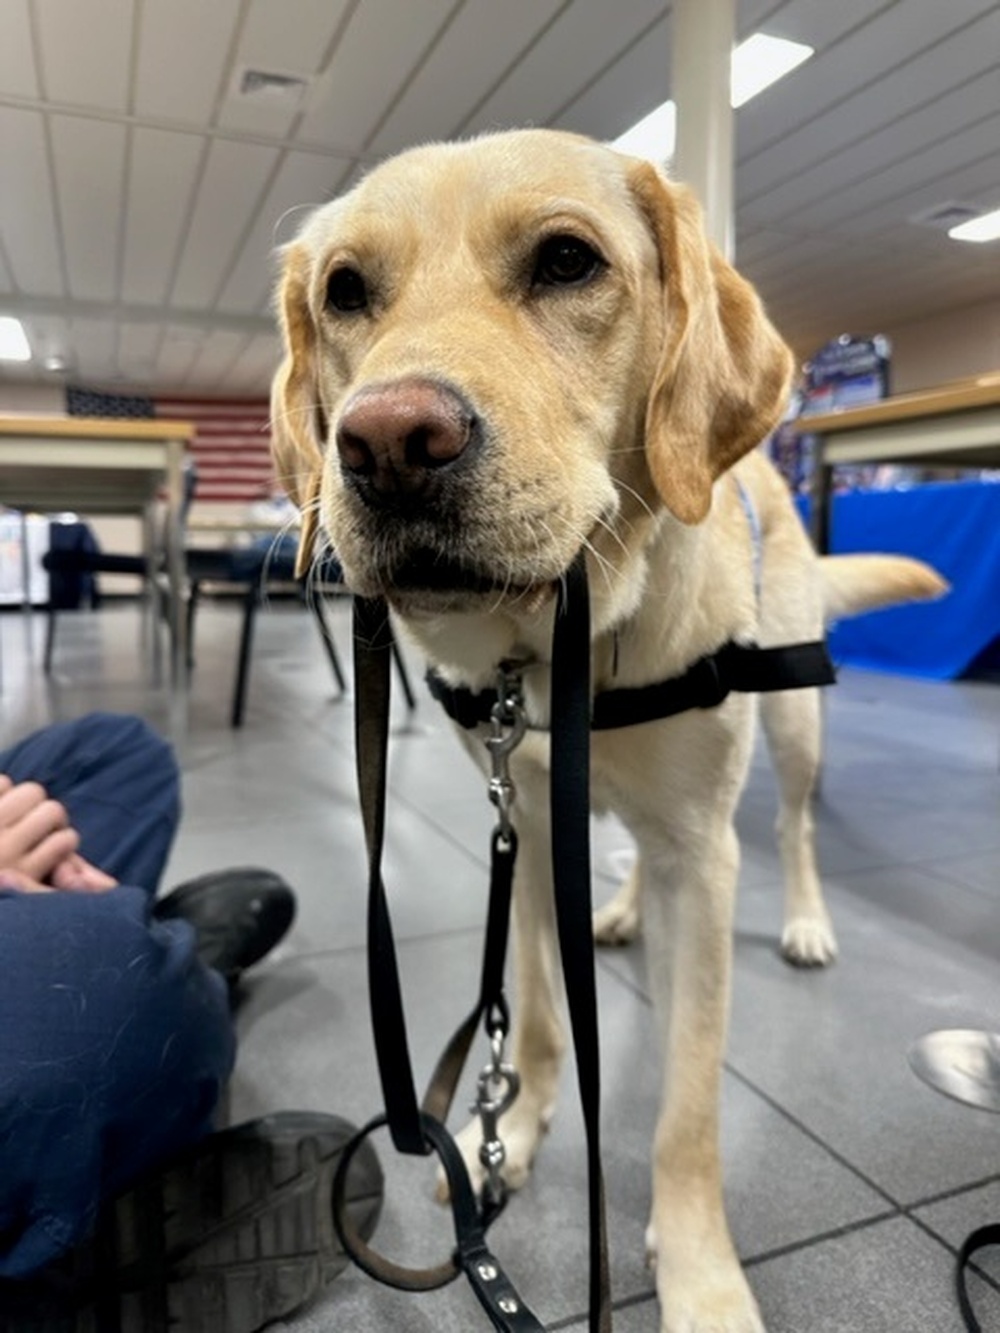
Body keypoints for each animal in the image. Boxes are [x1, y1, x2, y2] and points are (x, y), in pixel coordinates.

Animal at [272, 127, 949, 1333]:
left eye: (566, 262)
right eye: (344, 290)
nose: (387, 442)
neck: (557, 651)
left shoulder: (708, 858)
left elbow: (688, 1104)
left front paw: (700, 1274)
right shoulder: (531, 826)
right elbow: (540, 1014)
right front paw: (511, 1128)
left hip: (794, 724)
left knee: (798, 826)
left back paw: (807, 920)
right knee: (631, 853)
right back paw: (625, 914)